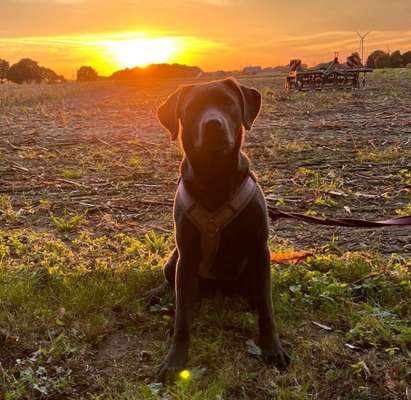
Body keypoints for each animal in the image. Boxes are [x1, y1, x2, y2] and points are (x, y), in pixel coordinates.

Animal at [157, 76, 290, 380]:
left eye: (228, 103)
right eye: (192, 108)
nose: (213, 125)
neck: (214, 177)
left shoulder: (259, 250)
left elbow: (267, 309)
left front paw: (272, 347)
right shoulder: (186, 257)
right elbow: (182, 318)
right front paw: (175, 358)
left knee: (255, 294)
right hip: (173, 261)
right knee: (180, 293)